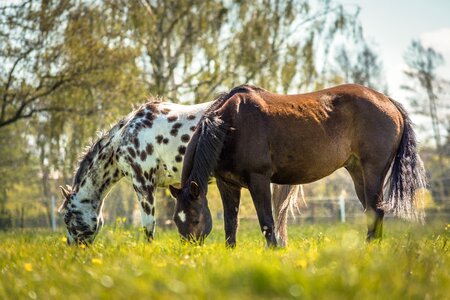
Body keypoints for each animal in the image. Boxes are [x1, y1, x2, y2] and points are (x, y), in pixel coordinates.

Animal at [169, 84, 426, 246]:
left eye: (195, 219)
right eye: (176, 221)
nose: (190, 251)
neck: (230, 125)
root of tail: (388, 101)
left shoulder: (259, 180)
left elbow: (267, 222)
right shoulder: (227, 184)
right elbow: (231, 224)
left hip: (373, 171)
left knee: (376, 210)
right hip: (357, 172)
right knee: (371, 212)